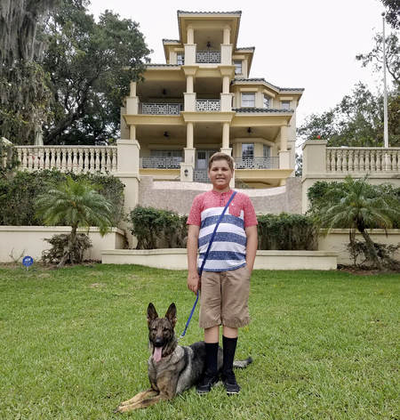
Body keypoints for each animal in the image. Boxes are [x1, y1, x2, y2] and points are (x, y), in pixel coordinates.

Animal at [115, 304, 252, 412]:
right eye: (154, 329)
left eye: (165, 330)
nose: (158, 342)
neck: (160, 363)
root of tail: (221, 349)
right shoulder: (154, 389)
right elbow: (140, 394)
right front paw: (126, 402)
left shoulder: (166, 395)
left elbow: (145, 401)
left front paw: (124, 408)